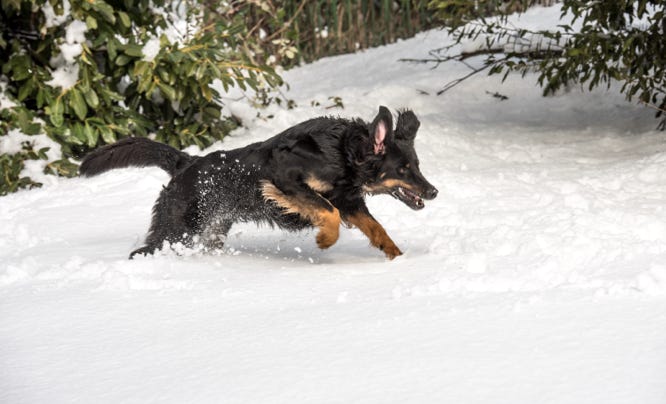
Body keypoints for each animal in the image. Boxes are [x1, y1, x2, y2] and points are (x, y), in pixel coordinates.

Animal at [80, 106, 436, 258]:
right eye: (403, 169)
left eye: (416, 165)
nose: (433, 191)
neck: (344, 153)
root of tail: (187, 163)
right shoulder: (284, 180)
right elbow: (328, 213)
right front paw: (324, 240)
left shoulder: (349, 201)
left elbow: (378, 230)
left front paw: (398, 260)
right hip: (177, 228)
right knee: (145, 250)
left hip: (211, 229)